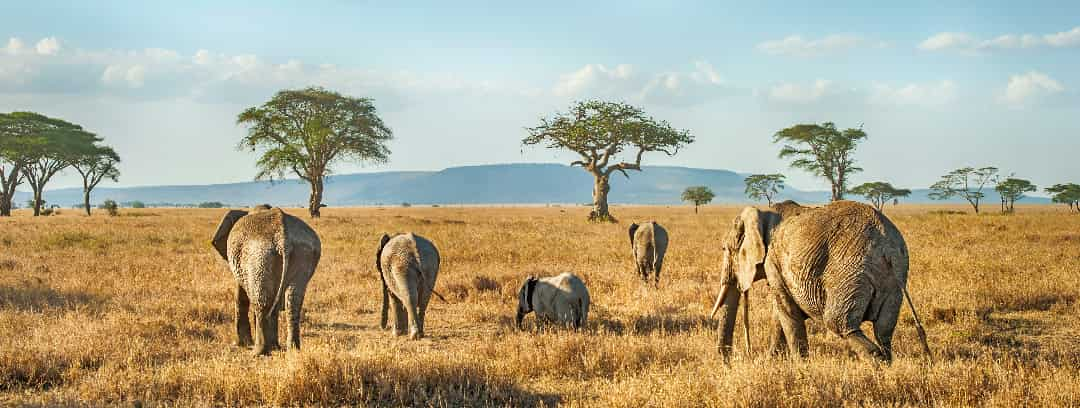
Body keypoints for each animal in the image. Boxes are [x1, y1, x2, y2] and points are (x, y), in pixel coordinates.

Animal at [210, 205, 319, 356]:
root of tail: (283, 239)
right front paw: (275, 348)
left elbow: (241, 296)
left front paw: (242, 344)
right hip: (303, 252)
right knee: (293, 302)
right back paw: (293, 351)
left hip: (259, 256)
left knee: (262, 303)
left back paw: (258, 352)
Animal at [708, 200, 928, 362]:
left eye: (726, 249)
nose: (729, 361)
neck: (763, 213)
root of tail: (887, 247)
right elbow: (781, 314)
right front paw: (772, 363)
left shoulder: (774, 261)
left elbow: (787, 311)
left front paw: (801, 367)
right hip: (895, 278)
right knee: (884, 330)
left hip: (850, 272)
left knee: (840, 323)